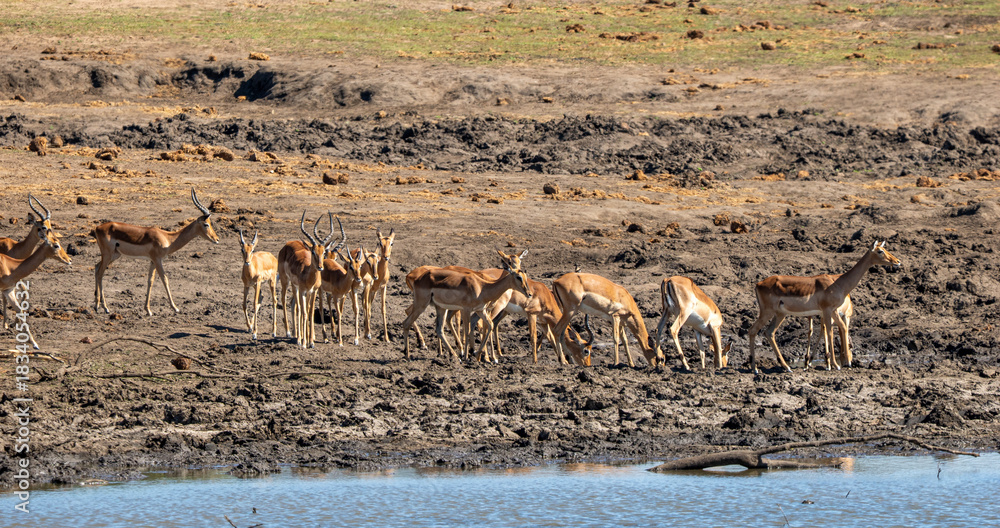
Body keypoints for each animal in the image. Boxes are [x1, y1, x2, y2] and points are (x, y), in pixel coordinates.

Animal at [278, 212, 344, 349]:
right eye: (313, 252)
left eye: (323, 252)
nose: (320, 266)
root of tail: (288, 244)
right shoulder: (305, 290)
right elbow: (304, 312)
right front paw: (305, 342)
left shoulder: (312, 291)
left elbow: (310, 312)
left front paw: (311, 341)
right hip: (287, 281)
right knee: (288, 302)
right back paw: (292, 334)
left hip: (298, 288)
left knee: (295, 304)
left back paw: (298, 334)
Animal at [400, 250, 531, 361]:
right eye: (518, 277)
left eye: (525, 277)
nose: (529, 293)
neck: (483, 286)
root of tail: (416, 277)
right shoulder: (467, 310)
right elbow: (469, 330)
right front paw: (471, 356)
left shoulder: (481, 310)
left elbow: (489, 325)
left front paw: (478, 355)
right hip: (421, 305)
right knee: (406, 322)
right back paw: (408, 354)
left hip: (441, 308)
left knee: (439, 329)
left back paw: (453, 355)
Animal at [747, 241, 901, 373]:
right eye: (880, 251)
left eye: (885, 249)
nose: (897, 261)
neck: (838, 282)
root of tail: (758, 284)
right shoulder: (827, 310)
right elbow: (830, 332)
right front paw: (836, 364)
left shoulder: (833, 311)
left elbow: (840, 328)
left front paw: (843, 363)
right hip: (767, 312)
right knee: (753, 330)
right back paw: (755, 368)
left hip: (780, 314)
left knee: (769, 332)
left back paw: (786, 367)